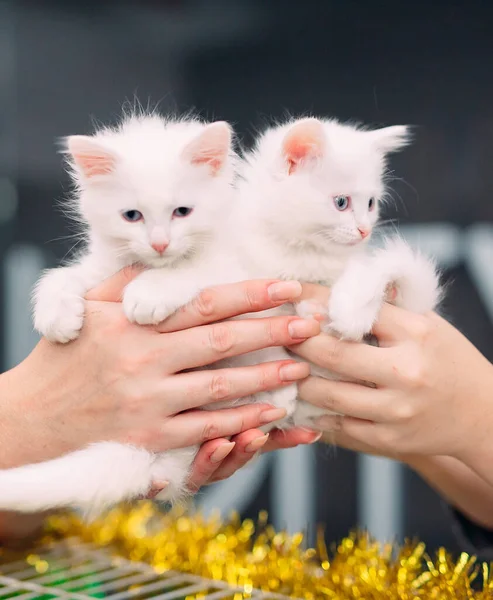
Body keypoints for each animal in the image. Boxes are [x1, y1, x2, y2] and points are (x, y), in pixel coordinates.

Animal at [0, 115, 292, 516]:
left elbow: (192, 270)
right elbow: (62, 276)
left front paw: (149, 293)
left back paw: (280, 393)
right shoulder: (104, 269)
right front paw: (56, 314)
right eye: (132, 216)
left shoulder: (237, 270)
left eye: (182, 212)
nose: (159, 244)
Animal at [233, 116, 440, 426]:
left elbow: (370, 274)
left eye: (371, 204)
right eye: (341, 202)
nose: (365, 230)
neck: (304, 252)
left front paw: (352, 314)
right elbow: (258, 336)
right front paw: (278, 389)